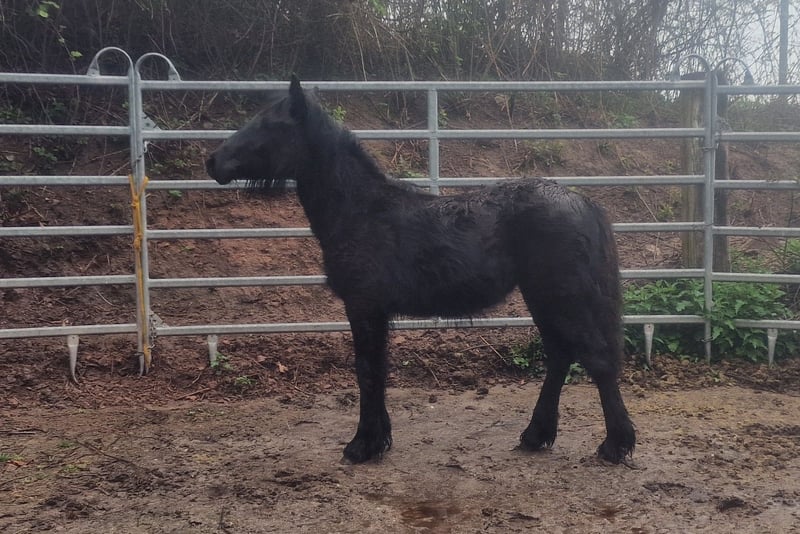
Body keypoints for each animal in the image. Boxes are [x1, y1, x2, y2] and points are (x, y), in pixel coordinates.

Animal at [206, 76, 636, 465]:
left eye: (271, 124)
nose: (213, 161)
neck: (363, 211)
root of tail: (580, 201)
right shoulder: (375, 312)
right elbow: (377, 371)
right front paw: (377, 440)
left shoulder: (363, 308)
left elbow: (367, 371)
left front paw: (362, 446)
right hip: (542, 298)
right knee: (560, 356)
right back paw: (536, 435)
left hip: (564, 298)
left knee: (596, 359)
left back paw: (615, 446)